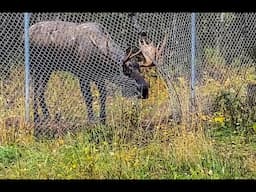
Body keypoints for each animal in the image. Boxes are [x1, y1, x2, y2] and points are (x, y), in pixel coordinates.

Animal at [28, 20, 166, 136]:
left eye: (140, 69)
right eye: (127, 72)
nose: (145, 90)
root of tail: (29, 31)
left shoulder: (99, 77)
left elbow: (103, 95)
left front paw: (103, 119)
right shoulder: (82, 75)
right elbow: (88, 98)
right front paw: (91, 119)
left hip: (48, 69)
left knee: (40, 91)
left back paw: (46, 116)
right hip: (36, 66)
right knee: (34, 90)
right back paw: (37, 117)